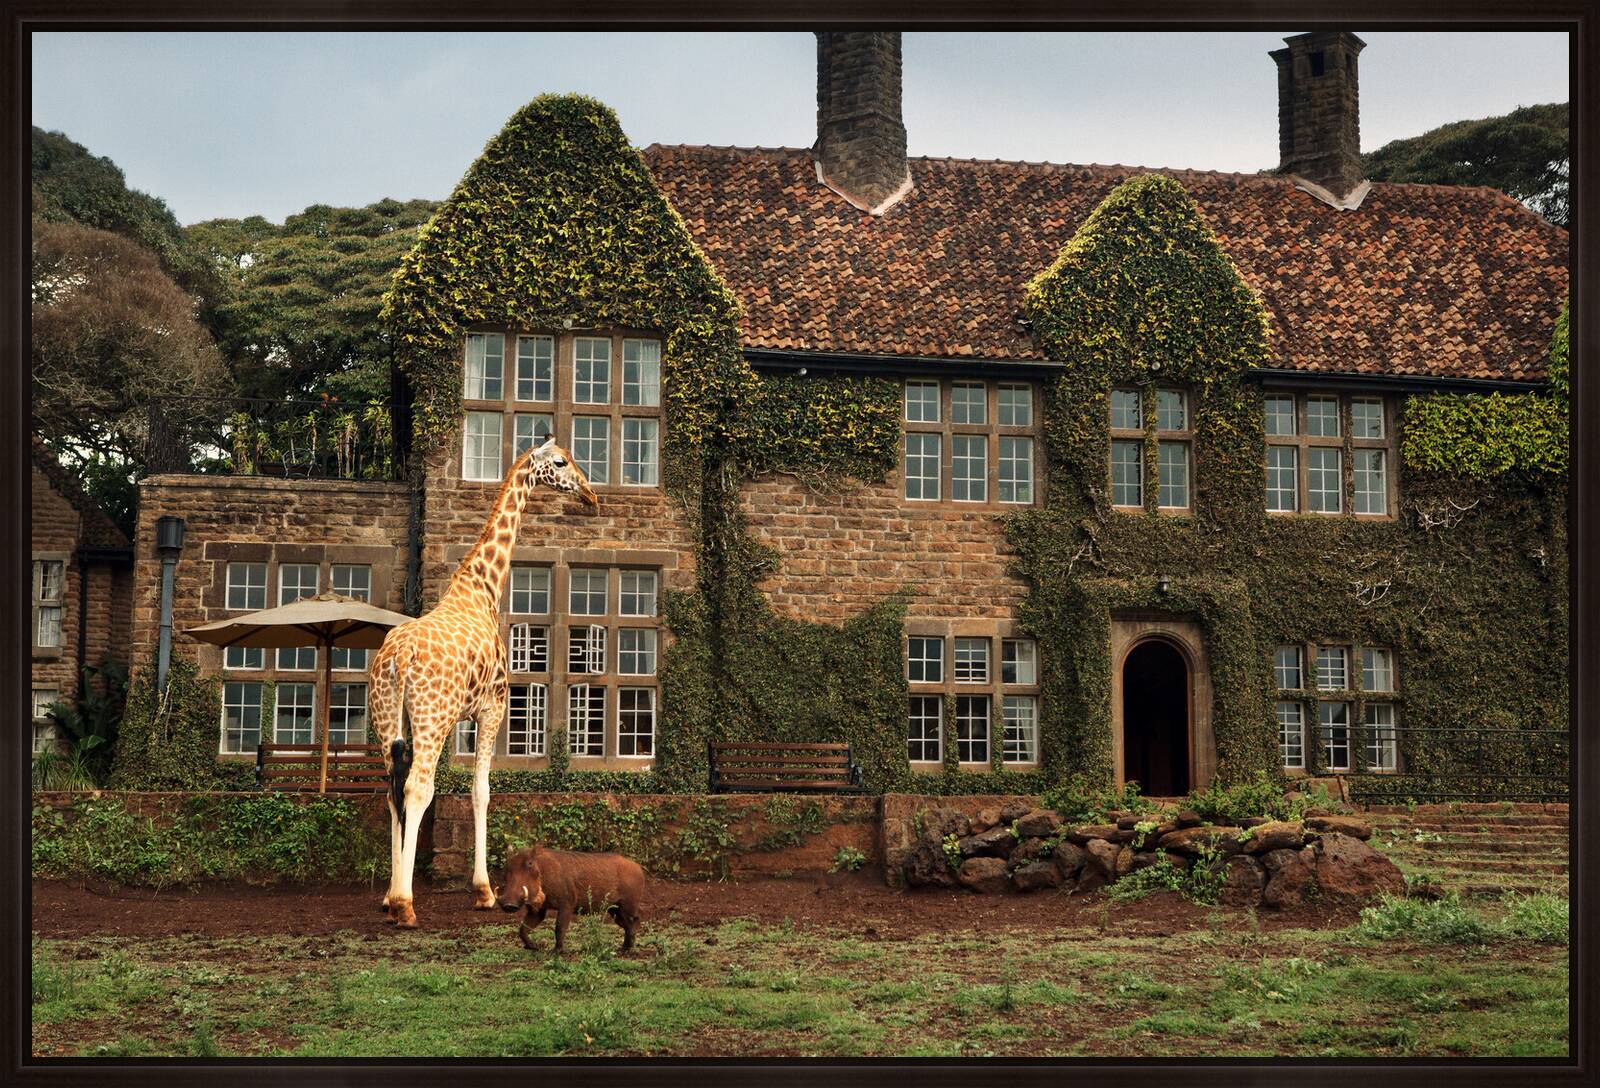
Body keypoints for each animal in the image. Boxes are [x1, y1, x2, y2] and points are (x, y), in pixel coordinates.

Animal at [370, 437, 597, 928]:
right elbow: (481, 792)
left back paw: (390, 899)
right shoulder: (493, 706)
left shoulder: (465, 716)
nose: (590, 495)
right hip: (431, 720)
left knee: (393, 792)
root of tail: (397, 659)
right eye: (560, 462)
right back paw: (406, 904)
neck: (484, 587)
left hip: (386, 720)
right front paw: (484, 891)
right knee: (417, 790)